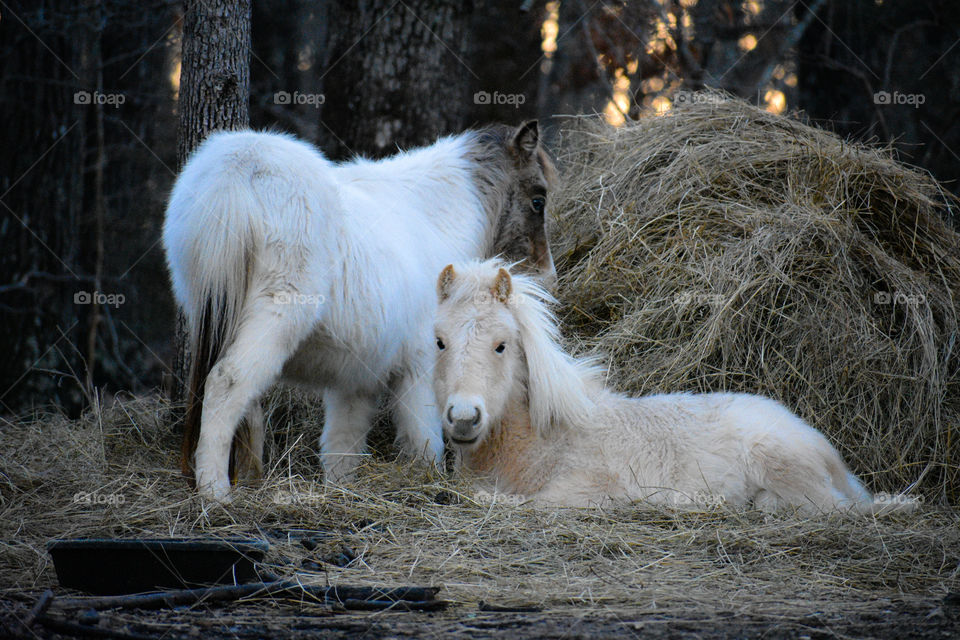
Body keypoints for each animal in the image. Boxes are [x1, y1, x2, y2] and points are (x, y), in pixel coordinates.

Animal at [163, 122, 557, 501]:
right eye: (538, 199)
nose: (547, 277)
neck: (432, 214)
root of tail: (241, 168)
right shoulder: (420, 365)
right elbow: (423, 439)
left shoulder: (353, 380)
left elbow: (343, 446)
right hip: (274, 319)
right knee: (226, 382)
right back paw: (215, 491)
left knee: (249, 403)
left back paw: (249, 479)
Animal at [432, 259, 891, 514]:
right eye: (439, 341)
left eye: (501, 345)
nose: (464, 418)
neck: (544, 440)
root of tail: (824, 448)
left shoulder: (587, 489)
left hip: (785, 467)